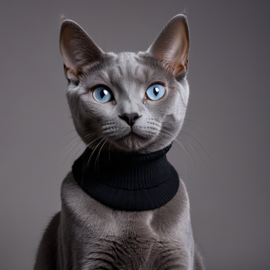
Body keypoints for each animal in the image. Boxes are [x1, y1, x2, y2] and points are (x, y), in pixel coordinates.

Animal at [34, 13, 206, 270]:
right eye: (102, 94)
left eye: (155, 91)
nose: (130, 115)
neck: (132, 184)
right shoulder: (90, 258)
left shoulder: (179, 259)